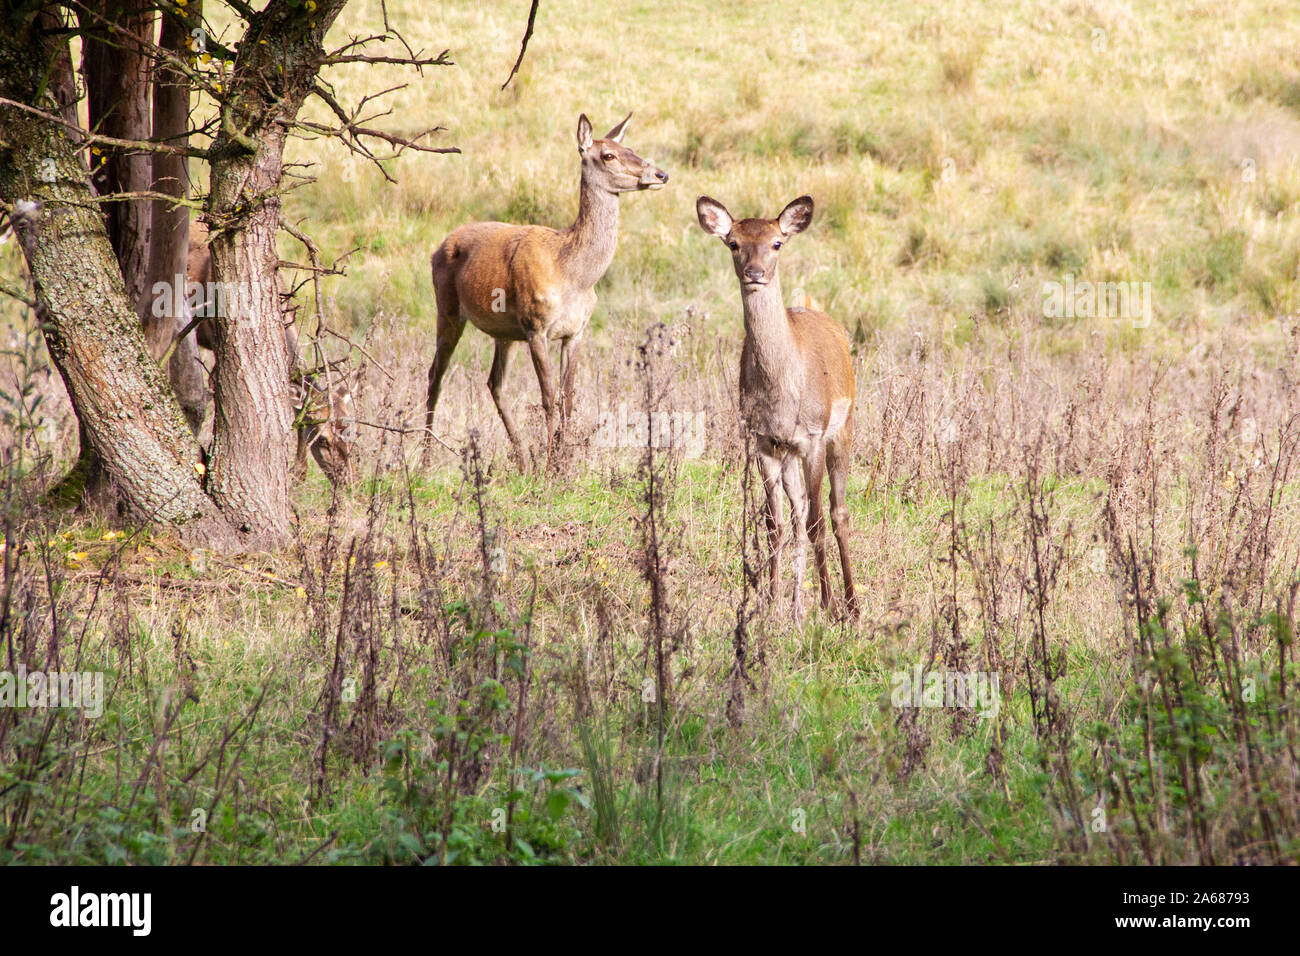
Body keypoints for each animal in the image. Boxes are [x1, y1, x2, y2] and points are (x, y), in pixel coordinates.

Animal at [426, 111, 670, 468]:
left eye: (631, 148)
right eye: (608, 155)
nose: (661, 173)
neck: (573, 275)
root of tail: (437, 248)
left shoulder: (575, 331)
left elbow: (568, 397)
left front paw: (563, 460)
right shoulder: (535, 326)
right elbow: (548, 395)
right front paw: (551, 463)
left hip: (505, 333)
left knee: (494, 383)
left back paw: (522, 456)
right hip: (448, 309)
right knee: (436, 375)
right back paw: (424, 453)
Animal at [696, 197, 857, 624]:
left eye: (777, 242)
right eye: (733, 242)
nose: (755, 273)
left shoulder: (812, 437)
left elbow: (818, 522)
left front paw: (829, 606)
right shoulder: (763, 442)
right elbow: (775, 524)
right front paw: (771, 604)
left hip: (844, 429)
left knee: (837, 512)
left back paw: (851, 604)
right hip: (789, 456)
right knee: (798, 511)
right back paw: (800, 606)